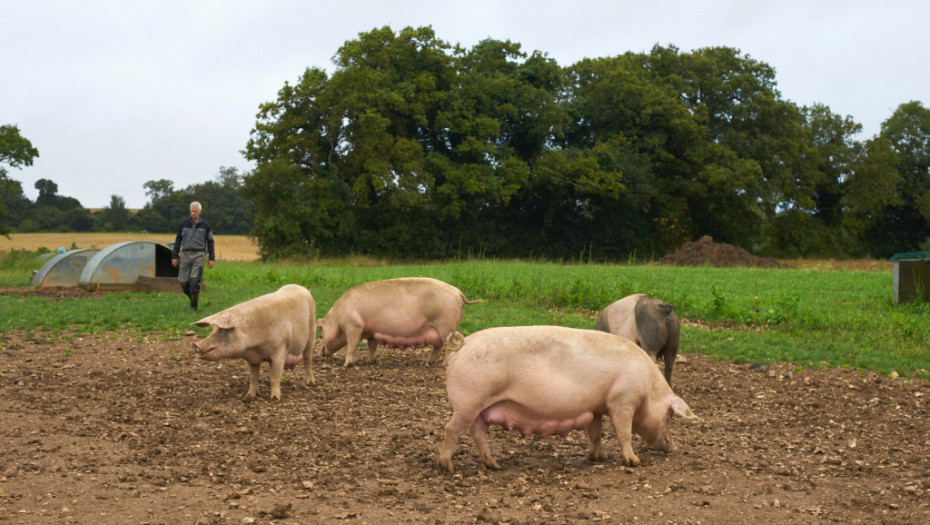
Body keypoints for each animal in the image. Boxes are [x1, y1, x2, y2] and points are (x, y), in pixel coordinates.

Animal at [318, 276, 482, 366]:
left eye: (322, 331)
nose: (320, 352)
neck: (337, 317)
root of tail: (458, 292)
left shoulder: (353, 326)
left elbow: (352, 345)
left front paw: (346, 365)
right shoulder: (371, 332)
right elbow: (372, 347)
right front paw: (369, 362)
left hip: (445, 325)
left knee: (449, 346)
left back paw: (444, 364)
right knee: (438, 347)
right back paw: (427, 363)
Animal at [436, 326, 696, 472]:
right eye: (670, 416)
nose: (674, 448)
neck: (648, 387)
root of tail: (464, 344)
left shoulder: (596, 408)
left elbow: (596, 433)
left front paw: (599, 457)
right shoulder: (622, 400)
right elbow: (624, 432)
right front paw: (634, 461)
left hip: (479, 407)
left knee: (478, 433)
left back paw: (494, 465)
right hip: (468, 402)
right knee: (451, 429)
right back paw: (447, 466)